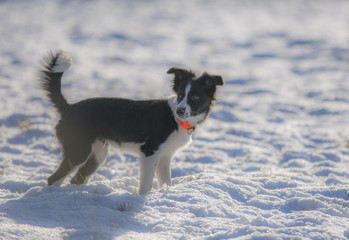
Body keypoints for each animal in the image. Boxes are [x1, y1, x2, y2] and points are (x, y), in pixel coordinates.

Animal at [38, 50, 223, 195]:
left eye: (195, 97)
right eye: (180, 95)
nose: (180, 111)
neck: (176, 120)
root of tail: (69, 108)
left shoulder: (165, 156)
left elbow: (166, 182)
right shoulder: (149, 152)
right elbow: (145, 185)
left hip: (98, 153)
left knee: (75, 179)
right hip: (79, 150)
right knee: (53, 179)